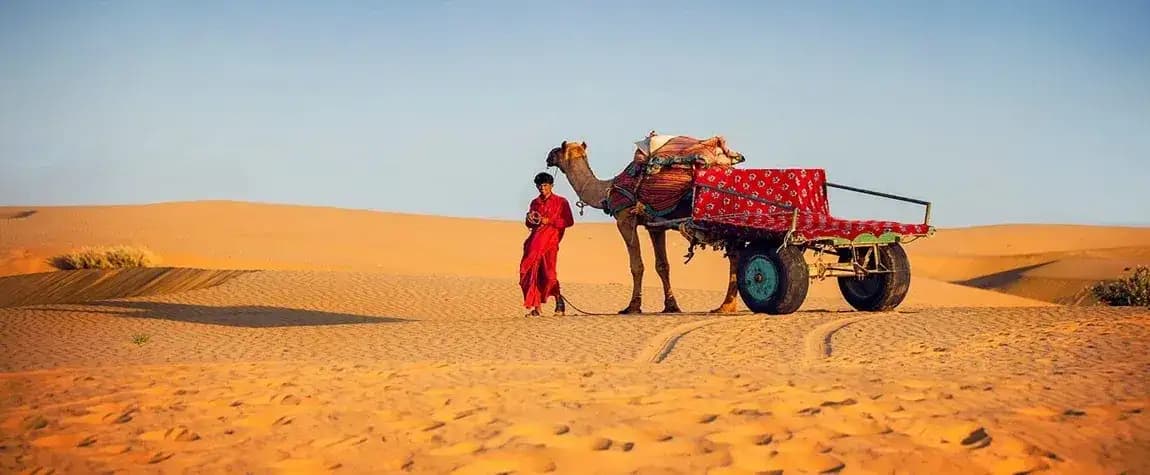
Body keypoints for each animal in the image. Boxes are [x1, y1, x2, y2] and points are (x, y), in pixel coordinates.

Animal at [545, 141, 741, 314]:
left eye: (557, 150)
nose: (548, 157)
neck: (607, 190)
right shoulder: (655, 226)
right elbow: (662, 265)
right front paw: (671, 306)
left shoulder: (625, 219)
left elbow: (636, 265)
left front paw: (632, 306)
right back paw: (727, 305)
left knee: (735, 257)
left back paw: (726, 306)